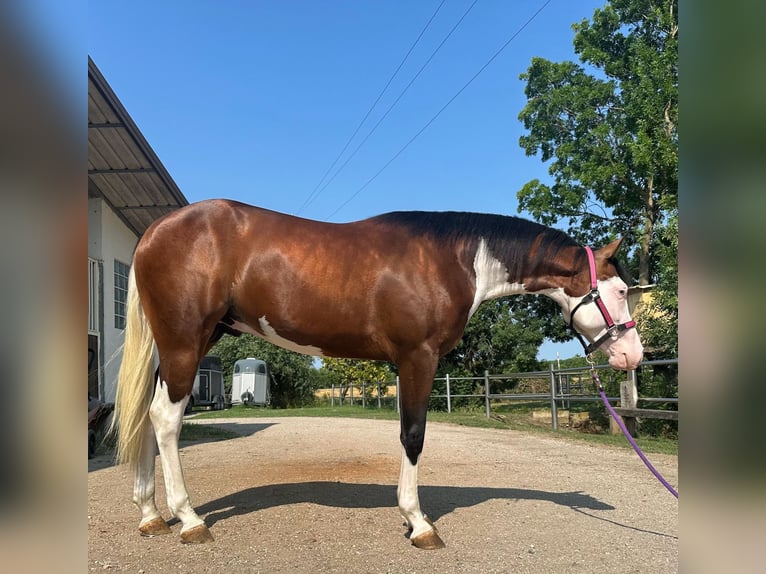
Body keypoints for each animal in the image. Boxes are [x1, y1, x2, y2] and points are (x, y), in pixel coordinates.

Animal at [111, 199, 642, 549]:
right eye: (619, 291)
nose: (632, 355)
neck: (454, 258)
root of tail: (155, 231)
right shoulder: (418, 357)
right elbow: (413, 435)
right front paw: (419, 523)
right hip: (185, 342)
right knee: (165, 419)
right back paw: (189, 519)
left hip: (187, 343)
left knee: (146, 416)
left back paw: (150, 514)